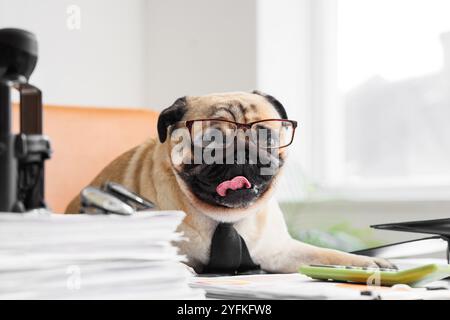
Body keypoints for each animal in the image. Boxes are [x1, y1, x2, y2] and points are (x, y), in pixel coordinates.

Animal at [65, 91, 392, 274]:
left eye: (266, 136)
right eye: (211, 140)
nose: (242, 151)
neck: (225, 218)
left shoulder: (282, 251)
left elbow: (325, 255)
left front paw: (367, 264)